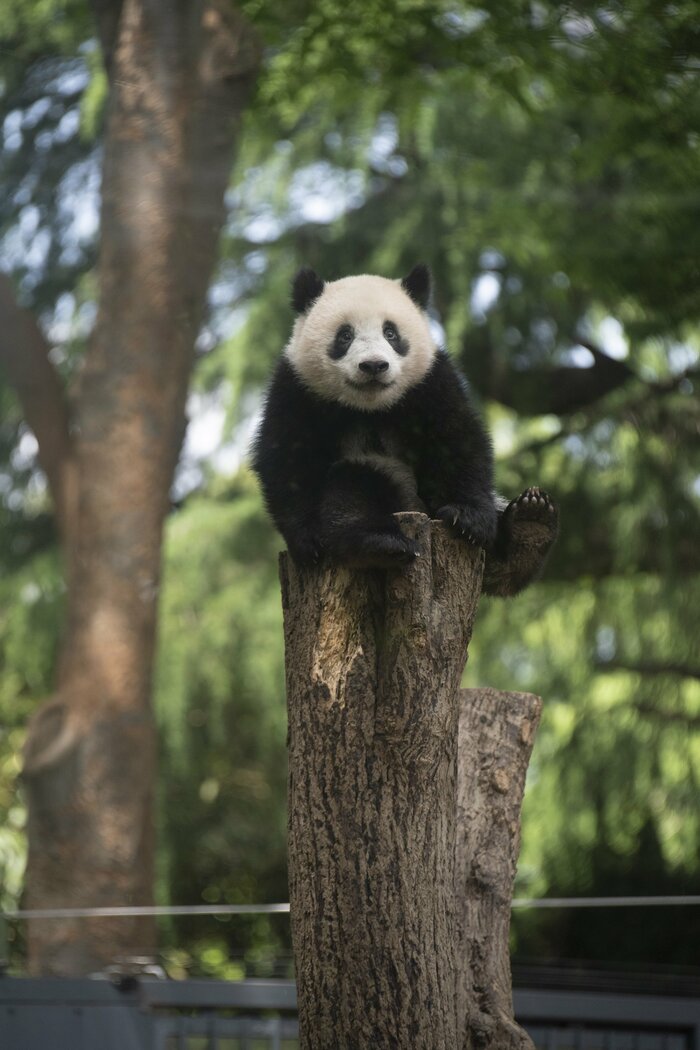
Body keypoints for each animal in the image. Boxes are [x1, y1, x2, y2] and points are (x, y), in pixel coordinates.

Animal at [252, 262, 558, 596]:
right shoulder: (297, 389)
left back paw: (529, 527)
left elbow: (458, 441)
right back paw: (382, 543)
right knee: (353, 487)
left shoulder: (430, 382)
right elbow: (286, 460)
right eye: (345, 335)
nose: (373, 366)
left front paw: (468, 519)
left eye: (391, 333)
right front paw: (307, 541)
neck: (370, 408)